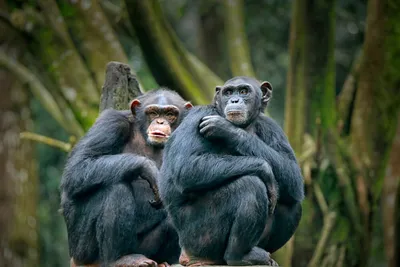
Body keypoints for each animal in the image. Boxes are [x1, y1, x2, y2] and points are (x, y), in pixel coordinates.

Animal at [59, 89, 194, 267]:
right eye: (153, 113)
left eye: (170, 114)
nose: (160, 121)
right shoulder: (111, 123)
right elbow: (78, 166)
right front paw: (148, 168)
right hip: (83, 250)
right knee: (116, 189)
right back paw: (122, 258)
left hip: (144, 249)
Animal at [158, 77, 304, 266]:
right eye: (228, 92)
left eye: (243, 91)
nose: (234, 100)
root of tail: (186, 254)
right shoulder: (198, 115)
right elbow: (186, 166)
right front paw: (265, 169)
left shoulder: (272, 126)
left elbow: (293, 173)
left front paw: (227, 129)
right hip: (200, 238)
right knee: (250, 185)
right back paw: (239, 256)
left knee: (291, 201)